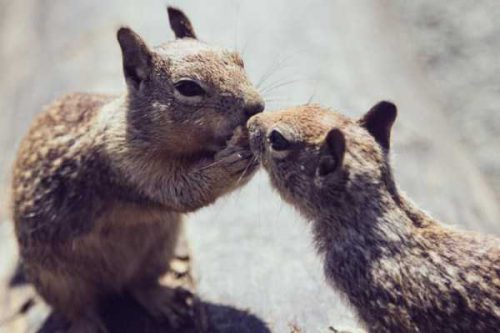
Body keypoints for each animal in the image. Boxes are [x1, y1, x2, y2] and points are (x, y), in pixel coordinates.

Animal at [9, 5, 264, 332]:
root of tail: (112, 282)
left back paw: (163, 300)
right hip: (59, 281)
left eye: (237, 59)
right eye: (188, 88)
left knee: (139, 285)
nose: (256, 107)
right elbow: (183, 191)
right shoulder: (127, 165)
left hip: (158, 249)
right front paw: (233, 158)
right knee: (79, 309)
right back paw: (88, 324)